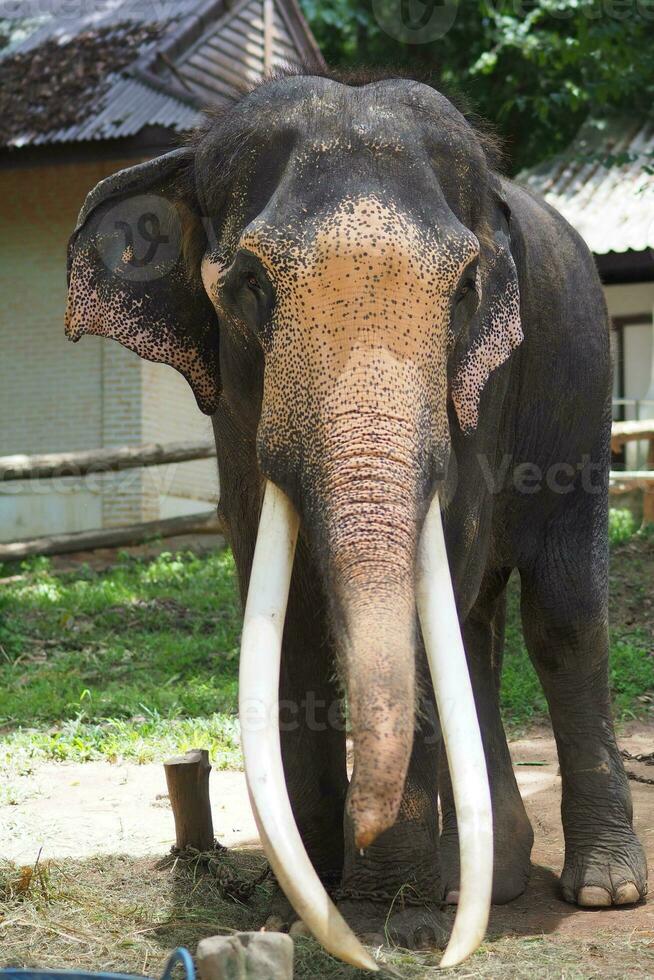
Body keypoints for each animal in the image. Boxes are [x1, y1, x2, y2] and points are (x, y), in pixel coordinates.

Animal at [64, 72, 648, 968]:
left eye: (465, 289)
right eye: (250, 285)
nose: (356, 842)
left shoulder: (478, 399)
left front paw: (385, 926)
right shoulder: (235, 429)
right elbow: (286, 617)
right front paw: (291, 911)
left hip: (582, 406)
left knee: (563, 616)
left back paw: (602, 888)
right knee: (474, 630)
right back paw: (480, 880)